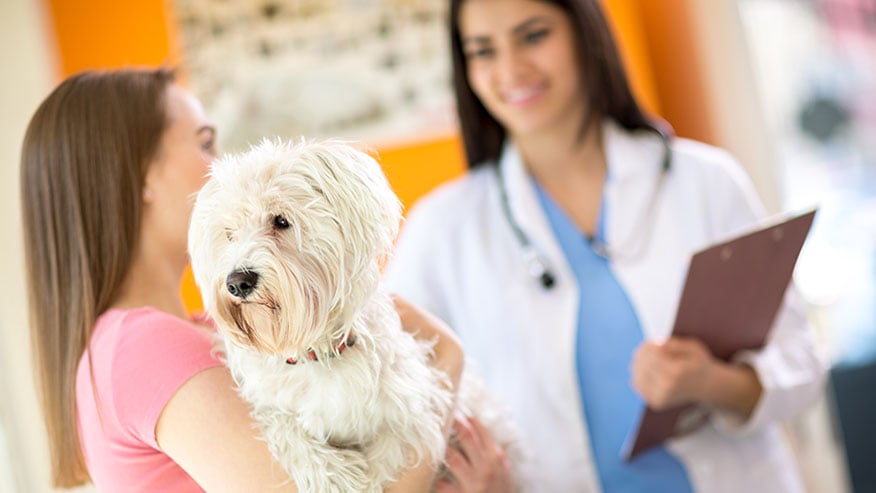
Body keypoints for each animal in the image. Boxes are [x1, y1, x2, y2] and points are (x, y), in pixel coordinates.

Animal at [188, 136, 516, 490]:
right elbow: (287, 431)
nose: (237, 282)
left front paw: (364, 480)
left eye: (281, 221)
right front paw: (339, 477)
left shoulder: (415, 406)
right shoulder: (270, 405)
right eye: (229, 234)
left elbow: (390, 451)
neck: (316, 355)